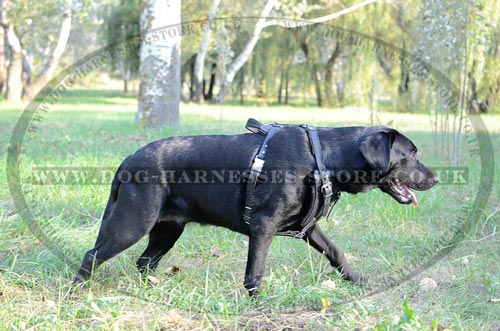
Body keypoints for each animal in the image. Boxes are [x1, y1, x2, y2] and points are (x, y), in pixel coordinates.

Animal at [74, 124, 438, 296]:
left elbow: (336, 251)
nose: (435, 178)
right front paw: (256, 301)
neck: (323, 159)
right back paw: (77, 290)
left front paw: (357, 279)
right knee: (93, 254)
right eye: (411, 154)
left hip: (168, 229)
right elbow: (255, 271)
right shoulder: (263, 225)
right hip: (133, 222)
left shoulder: (309, 226)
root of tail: (128, 160)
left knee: (145, 261)